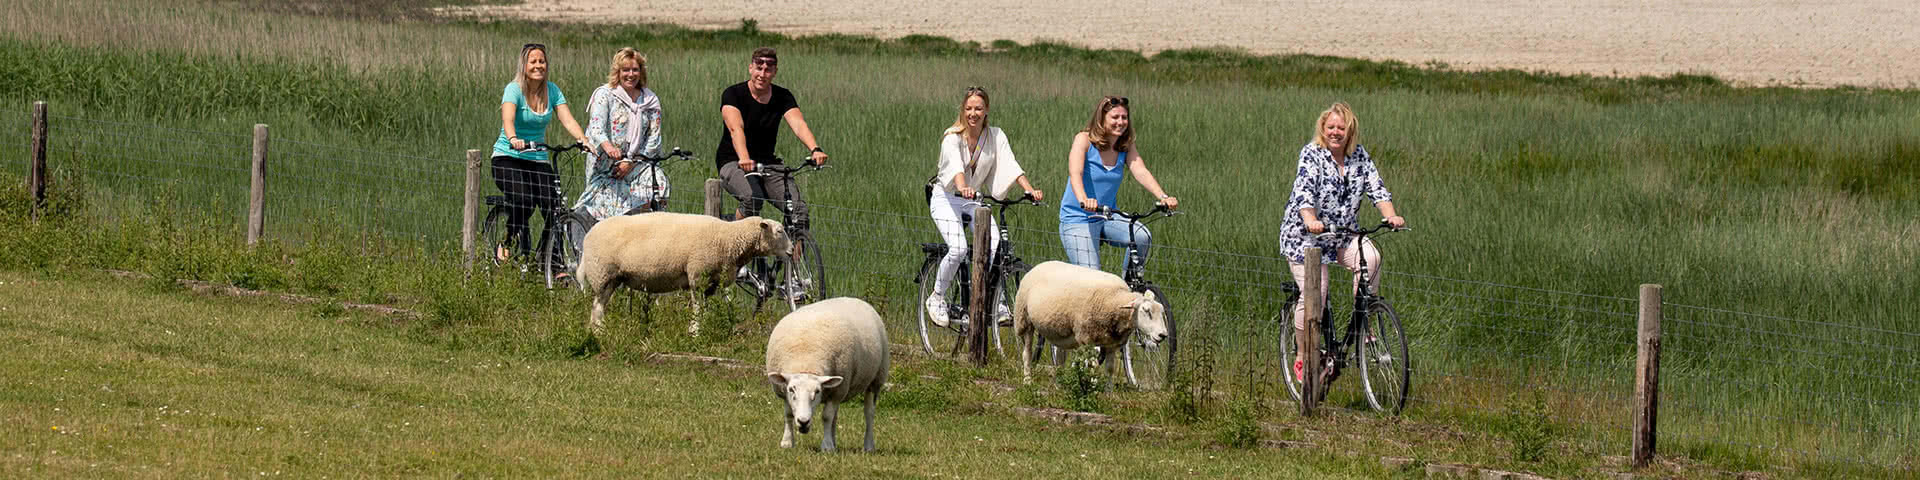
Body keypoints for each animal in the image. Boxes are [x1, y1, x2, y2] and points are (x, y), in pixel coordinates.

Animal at [583, 212, 794, 336]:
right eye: (779, 231)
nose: (792, 251)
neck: (727, 238)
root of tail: (588, 235)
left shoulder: (711, 282)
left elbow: (705, 307)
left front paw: (703, 327)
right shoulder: (697, 274)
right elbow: (697, 307)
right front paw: (695, 331)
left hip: (612, 278)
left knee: (599, 305)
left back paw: (597, 330)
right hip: (602, 273)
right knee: (597, 306)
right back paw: (598, 331)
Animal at [760, 297, 887, 451]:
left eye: (817, 391)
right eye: (791, 390)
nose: (803, 421)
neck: (806, 360)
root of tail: (853, 298)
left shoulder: (838, 391)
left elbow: (826, 417)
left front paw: (826, 447)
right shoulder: (784, 393)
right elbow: (789, 414)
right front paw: (787, 442)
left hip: (876, 379)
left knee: (868, 413)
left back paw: (868, 446)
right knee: (835, 417)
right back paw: (834, 442)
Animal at [1006, 261, 1167, 384]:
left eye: (1162, 311)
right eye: (1146, 311)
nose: (1163, 335)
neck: (1114, 299)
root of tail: (1040, 265)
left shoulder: (1111, 343)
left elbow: (1110, 369)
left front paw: (1108, 394)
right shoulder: (1087, 338)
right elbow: (1093, 366)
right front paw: (1093, 388)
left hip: (1060, 329)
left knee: (1060, 358)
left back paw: (1058, 383)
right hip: (1024, 320)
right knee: (1027, 353)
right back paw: (1028, 381)